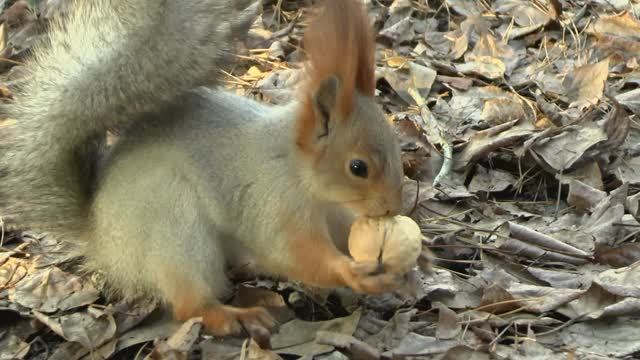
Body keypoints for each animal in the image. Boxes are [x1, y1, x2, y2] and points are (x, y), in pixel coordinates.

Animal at [0, 0, 404, 338]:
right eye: (358, 167)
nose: (392, 208)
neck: (302, 174)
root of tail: (101, 240)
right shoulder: (273, 204)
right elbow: (294, 254)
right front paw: (352, 273)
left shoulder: (337, 215)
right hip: (174, 229)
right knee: (189, 304)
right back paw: (234, 317)